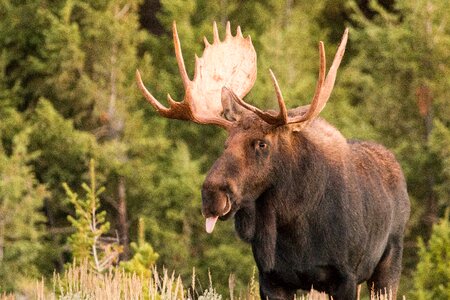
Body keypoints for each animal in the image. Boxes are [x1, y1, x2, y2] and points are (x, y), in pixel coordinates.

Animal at [135, 21, 410, 300]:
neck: (295, 227)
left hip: (389, 262)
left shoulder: (345, 277)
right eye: (226, 143)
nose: (212, 195)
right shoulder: (271, 278)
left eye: (262, 144)